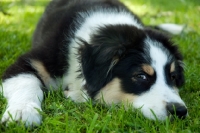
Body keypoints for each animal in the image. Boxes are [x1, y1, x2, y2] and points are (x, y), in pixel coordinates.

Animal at [0, 0, 187, 127]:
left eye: (173, 76)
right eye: (141, 76)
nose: (180, 111)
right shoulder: (32, 60)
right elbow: (26, 83)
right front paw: (23, 113)